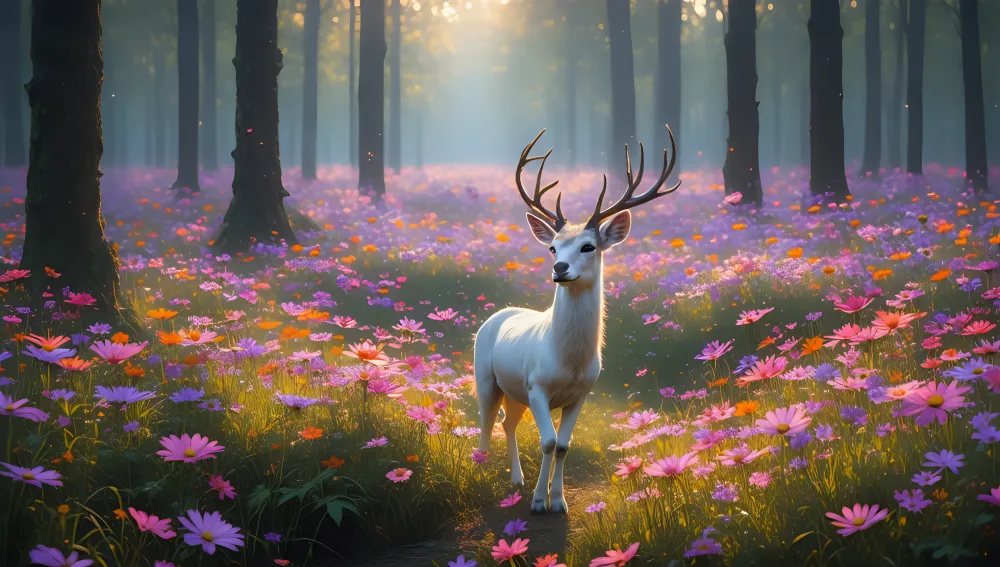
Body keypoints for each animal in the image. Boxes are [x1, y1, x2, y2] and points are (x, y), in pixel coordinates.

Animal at [474, 126, 679, 514]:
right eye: (553, 247)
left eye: (588, 246)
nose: (559, 268)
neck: (567, 361)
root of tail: (497, 314)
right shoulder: (537, 385)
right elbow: (547, 442)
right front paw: (539, 503)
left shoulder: (582, 392)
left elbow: (564, 444)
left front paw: (559, 501)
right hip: (485, 377)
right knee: (486, 422)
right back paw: (481, 469)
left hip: (515, 391)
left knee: (508, 423)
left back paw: (516, 479)